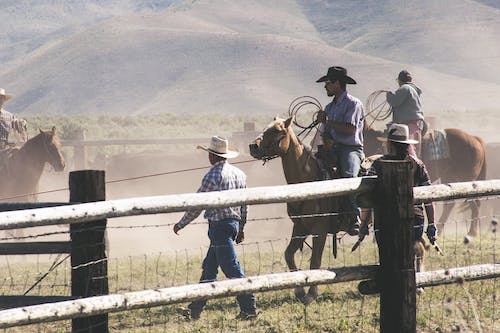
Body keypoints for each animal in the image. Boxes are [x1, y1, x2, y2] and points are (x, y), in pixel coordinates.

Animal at [249, 115, 352, 302]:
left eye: (276, 130)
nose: (253, 146)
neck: (308, 181)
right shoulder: (300, 227)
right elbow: (289, 254)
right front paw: (299, 290)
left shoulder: (320, 229)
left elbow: (315, 261)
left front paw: (311, 294)